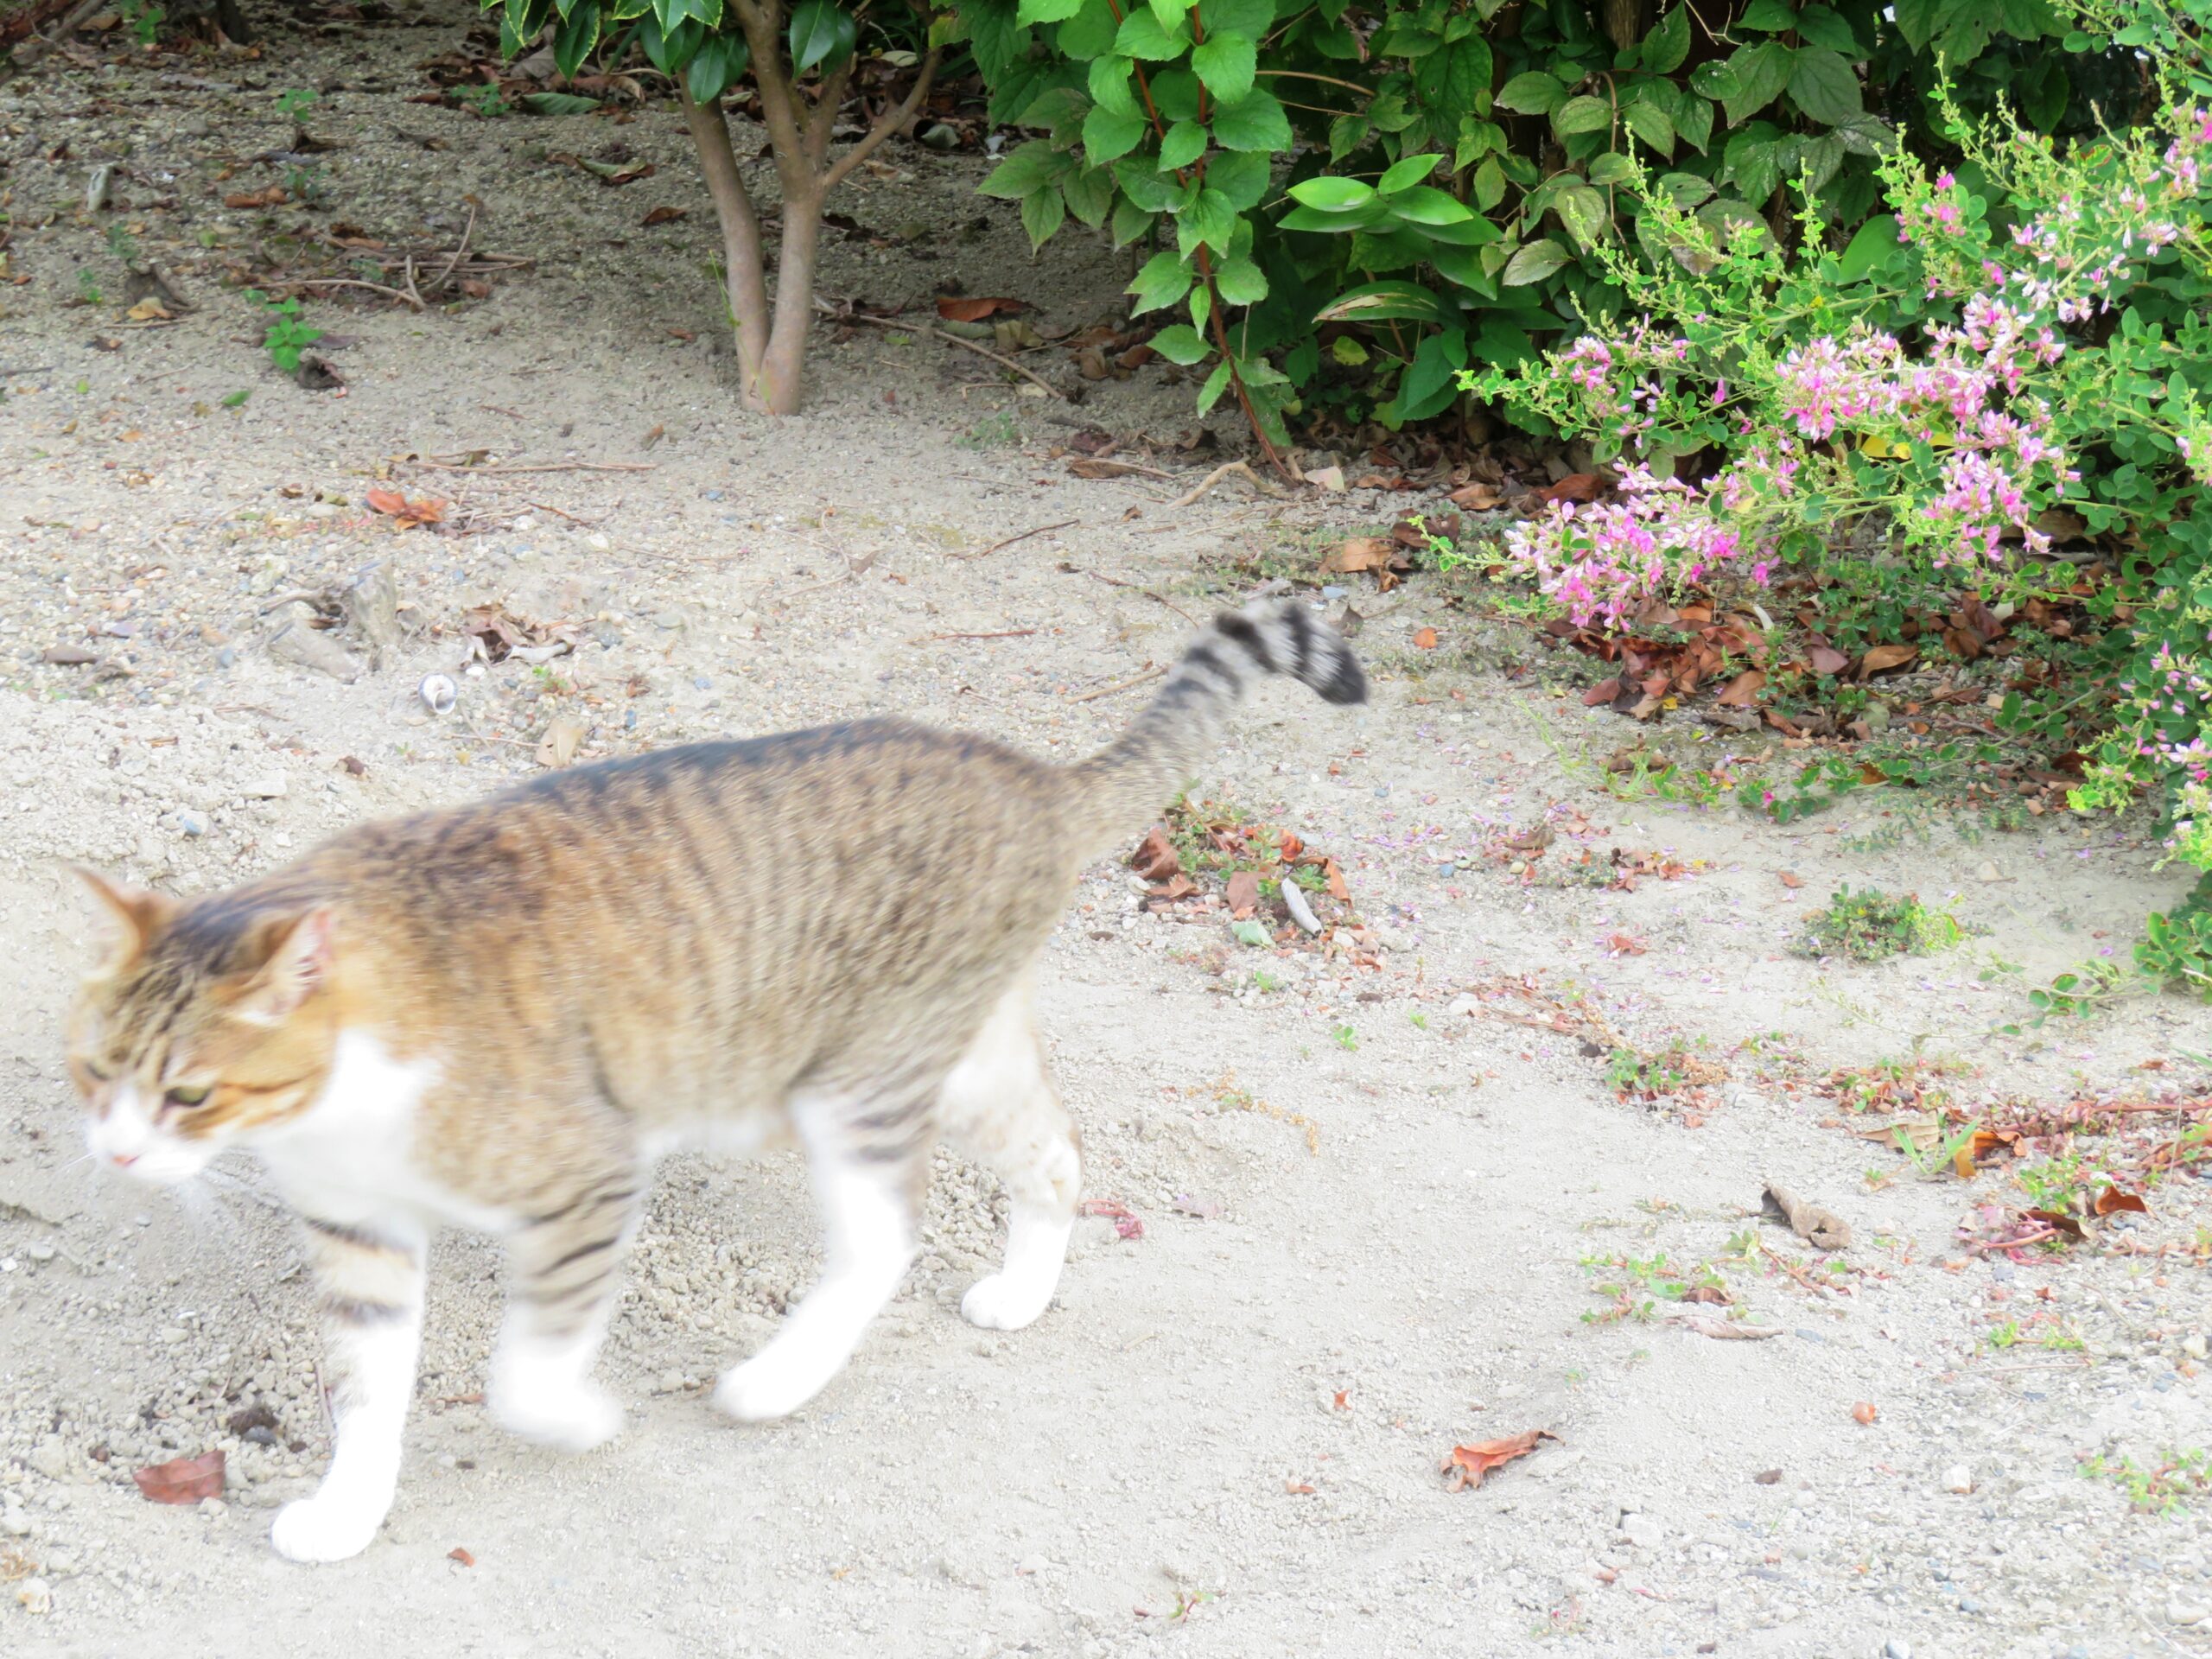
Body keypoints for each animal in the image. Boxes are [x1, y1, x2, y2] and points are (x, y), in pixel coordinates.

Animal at [64, 606, 1362, 1566]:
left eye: (190, 1095)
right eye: (95, 1072)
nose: (116, 1153)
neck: (344, 1100)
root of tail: (1030, 777)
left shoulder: (585, 1176)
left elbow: (524, 1375)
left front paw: (579, 1417)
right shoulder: (359, 1232)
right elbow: (367, 1395)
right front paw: (348, 1510)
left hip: (859, 1083)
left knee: (885, 1237)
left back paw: (774, 1383)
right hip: (953, 1054)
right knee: (1055, 1150)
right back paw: (1021, 1292)